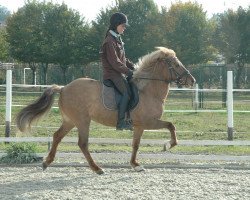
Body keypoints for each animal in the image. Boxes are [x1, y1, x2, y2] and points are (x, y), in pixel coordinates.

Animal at [16, 46, 195, 173]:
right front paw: (168, 145)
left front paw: (135, 164)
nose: (192, 80)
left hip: (70, 121)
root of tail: (64, 88)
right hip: (82, 121)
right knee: (82, 144)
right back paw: (97, 169)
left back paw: (46, 162)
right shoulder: (148, 122)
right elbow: (171, 125)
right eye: (176, 64)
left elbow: (135, 145)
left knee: (57, 136)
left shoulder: (139, 126)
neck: (147, 90)